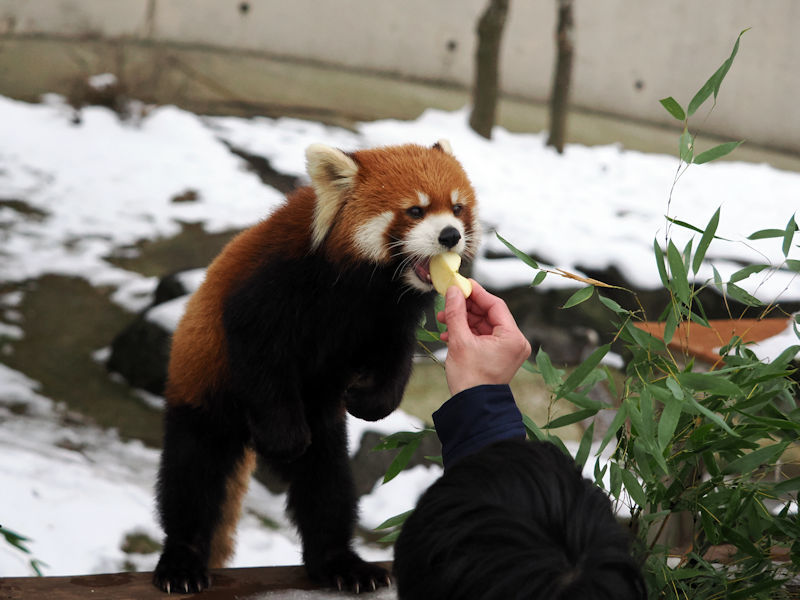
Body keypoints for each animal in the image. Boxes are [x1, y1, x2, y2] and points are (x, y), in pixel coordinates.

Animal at [155, 138, 482, 592]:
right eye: (415, 211)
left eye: (457, 207)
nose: (450, 236)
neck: (365, 285)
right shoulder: (272, 289)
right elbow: (261, 361)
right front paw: (285, 438)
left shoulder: (390, 318)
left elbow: (395, 361)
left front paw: (369, 402)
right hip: (201, 393)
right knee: (191, 479)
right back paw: (181, 563)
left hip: (324, 432)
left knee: (327, 488)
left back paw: (340, 564)